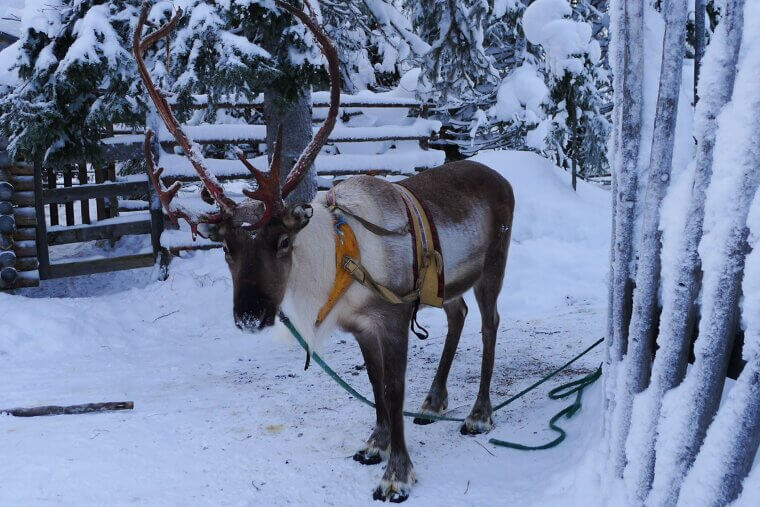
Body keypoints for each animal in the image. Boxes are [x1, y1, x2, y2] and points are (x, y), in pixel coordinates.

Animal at [133, 1, 514, 502]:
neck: (337, 262)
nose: (250, 316)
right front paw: (375, 443)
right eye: (226, 248)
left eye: (282, 241)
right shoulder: (360, 326)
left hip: (494, 266)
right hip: (445, 282)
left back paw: (478, 414)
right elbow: (374, 385)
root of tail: (502, 178)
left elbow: (393, 391)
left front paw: (396, 474)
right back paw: (434, 402)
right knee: (459, 315)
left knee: (490, 323)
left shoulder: (393, 318)